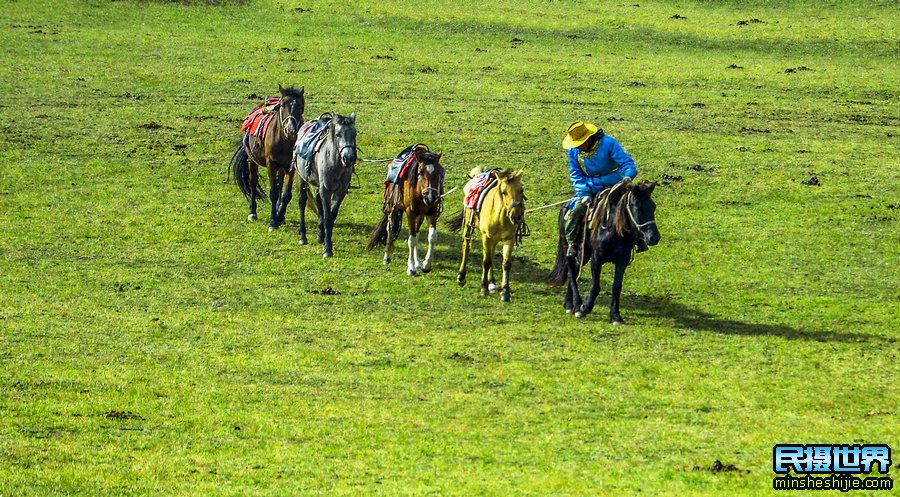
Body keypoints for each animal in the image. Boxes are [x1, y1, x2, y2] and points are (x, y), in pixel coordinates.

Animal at [230, 85, 304, 231]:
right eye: (282, 105)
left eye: (300, 105)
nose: (290, 130)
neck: (285, 141)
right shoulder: (271, 164)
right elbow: (273, 193)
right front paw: (273, 222)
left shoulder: (291, 167)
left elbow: (286, 194)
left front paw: (280, 215)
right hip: (252, 160)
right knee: (253, 182)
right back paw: (252, 213)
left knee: (279, 183)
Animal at [296, 112, 358, 258]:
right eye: (338, 134)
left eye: (355, 134)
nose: (348, 158)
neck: (335, 164)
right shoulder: (326, 190)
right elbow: (327, 216)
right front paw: (328, 249)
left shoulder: (340, 192)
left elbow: (332, 216)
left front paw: (325, 240)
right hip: (302, 178)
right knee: (302, 202)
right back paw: (303, 237)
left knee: (318, 201)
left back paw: (320, 235)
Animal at [366, 145, 446, 276]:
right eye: (420, 172)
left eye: (438, 173)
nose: (430, 197)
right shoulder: (410, 214)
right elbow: (411, 240)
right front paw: (411, 268)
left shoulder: (432, 213)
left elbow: (432, 237)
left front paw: (426, 264)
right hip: (392, 206)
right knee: (390, 228)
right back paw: (387, 257)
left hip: (420, 215)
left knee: (417, 233)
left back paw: (418, 262)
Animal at [448, 168, 528, 302]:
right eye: (504, 192)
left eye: (521, 190)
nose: (516, 216)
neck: (500, 217)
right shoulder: (486, 237)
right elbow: (486, 262)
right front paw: (483, 289)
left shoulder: (509, 239)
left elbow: (506, 264)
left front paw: (505, 292)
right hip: (468, 226)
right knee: (467, 247)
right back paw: (461, 276)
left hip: (494, 239)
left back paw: (492, 282)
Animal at [544, 180, 664, 324]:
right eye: (638, 208)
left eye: (653, 207)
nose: (654, 237)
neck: (615, 231)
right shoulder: (597, 259)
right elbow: (595, 287)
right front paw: (584, 308)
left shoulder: (622, 262)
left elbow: (617, 287)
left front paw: (616, 316)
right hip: (569, 249)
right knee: (571, 273)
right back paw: (575, 305)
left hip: (583, 254)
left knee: (574, 271)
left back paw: (569, 304)